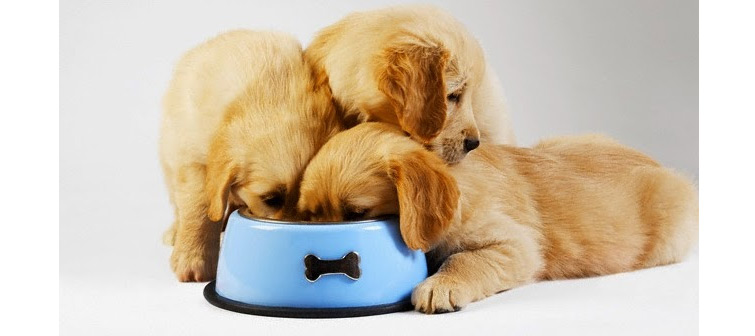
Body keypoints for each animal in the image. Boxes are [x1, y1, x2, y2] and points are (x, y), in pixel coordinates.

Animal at [159, 31, 342, 282]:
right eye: (271, 199)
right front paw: (194, 258)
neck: (268, 94)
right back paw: (175, 232)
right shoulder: (193, 159)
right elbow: (199, 208)